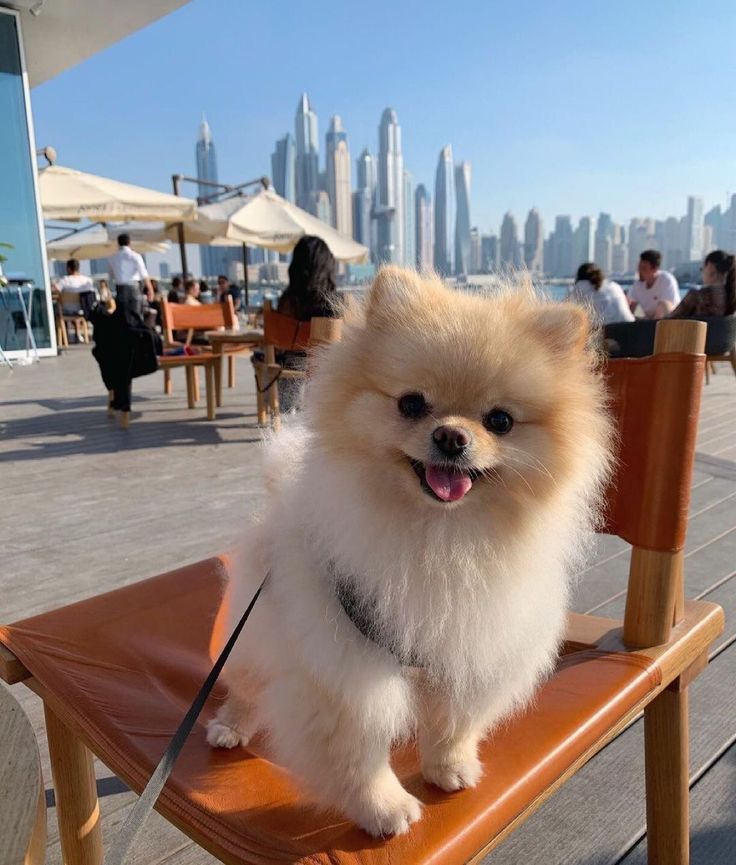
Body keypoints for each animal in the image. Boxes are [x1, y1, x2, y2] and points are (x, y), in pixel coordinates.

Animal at [206, 268, 608, 836]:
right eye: (411, 404)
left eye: (500, 421)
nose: (452, 436)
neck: (440, 538)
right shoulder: (346, 667)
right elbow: (358, 749)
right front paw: (383, 809)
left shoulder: (464, 645)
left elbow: (453, 723)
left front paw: (450, 767)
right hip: (256, 632)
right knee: (244, 684)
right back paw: (229, 726)